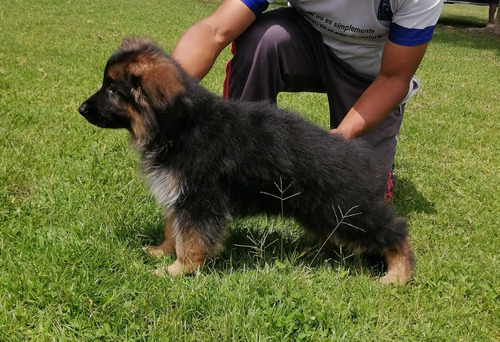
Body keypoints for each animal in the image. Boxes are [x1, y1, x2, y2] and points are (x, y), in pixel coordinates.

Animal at [79, 37, 414, 284]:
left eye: (112, 89)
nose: (81, 109)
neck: (180, 126)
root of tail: (363, 159)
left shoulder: (199, 200)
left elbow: (191, 239)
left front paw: (179, 270)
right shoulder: (178, 196)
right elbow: (173, 229)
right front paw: (162, 251)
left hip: (348, 209)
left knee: (395, 229)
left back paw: (398, 274)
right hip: (321, 211)